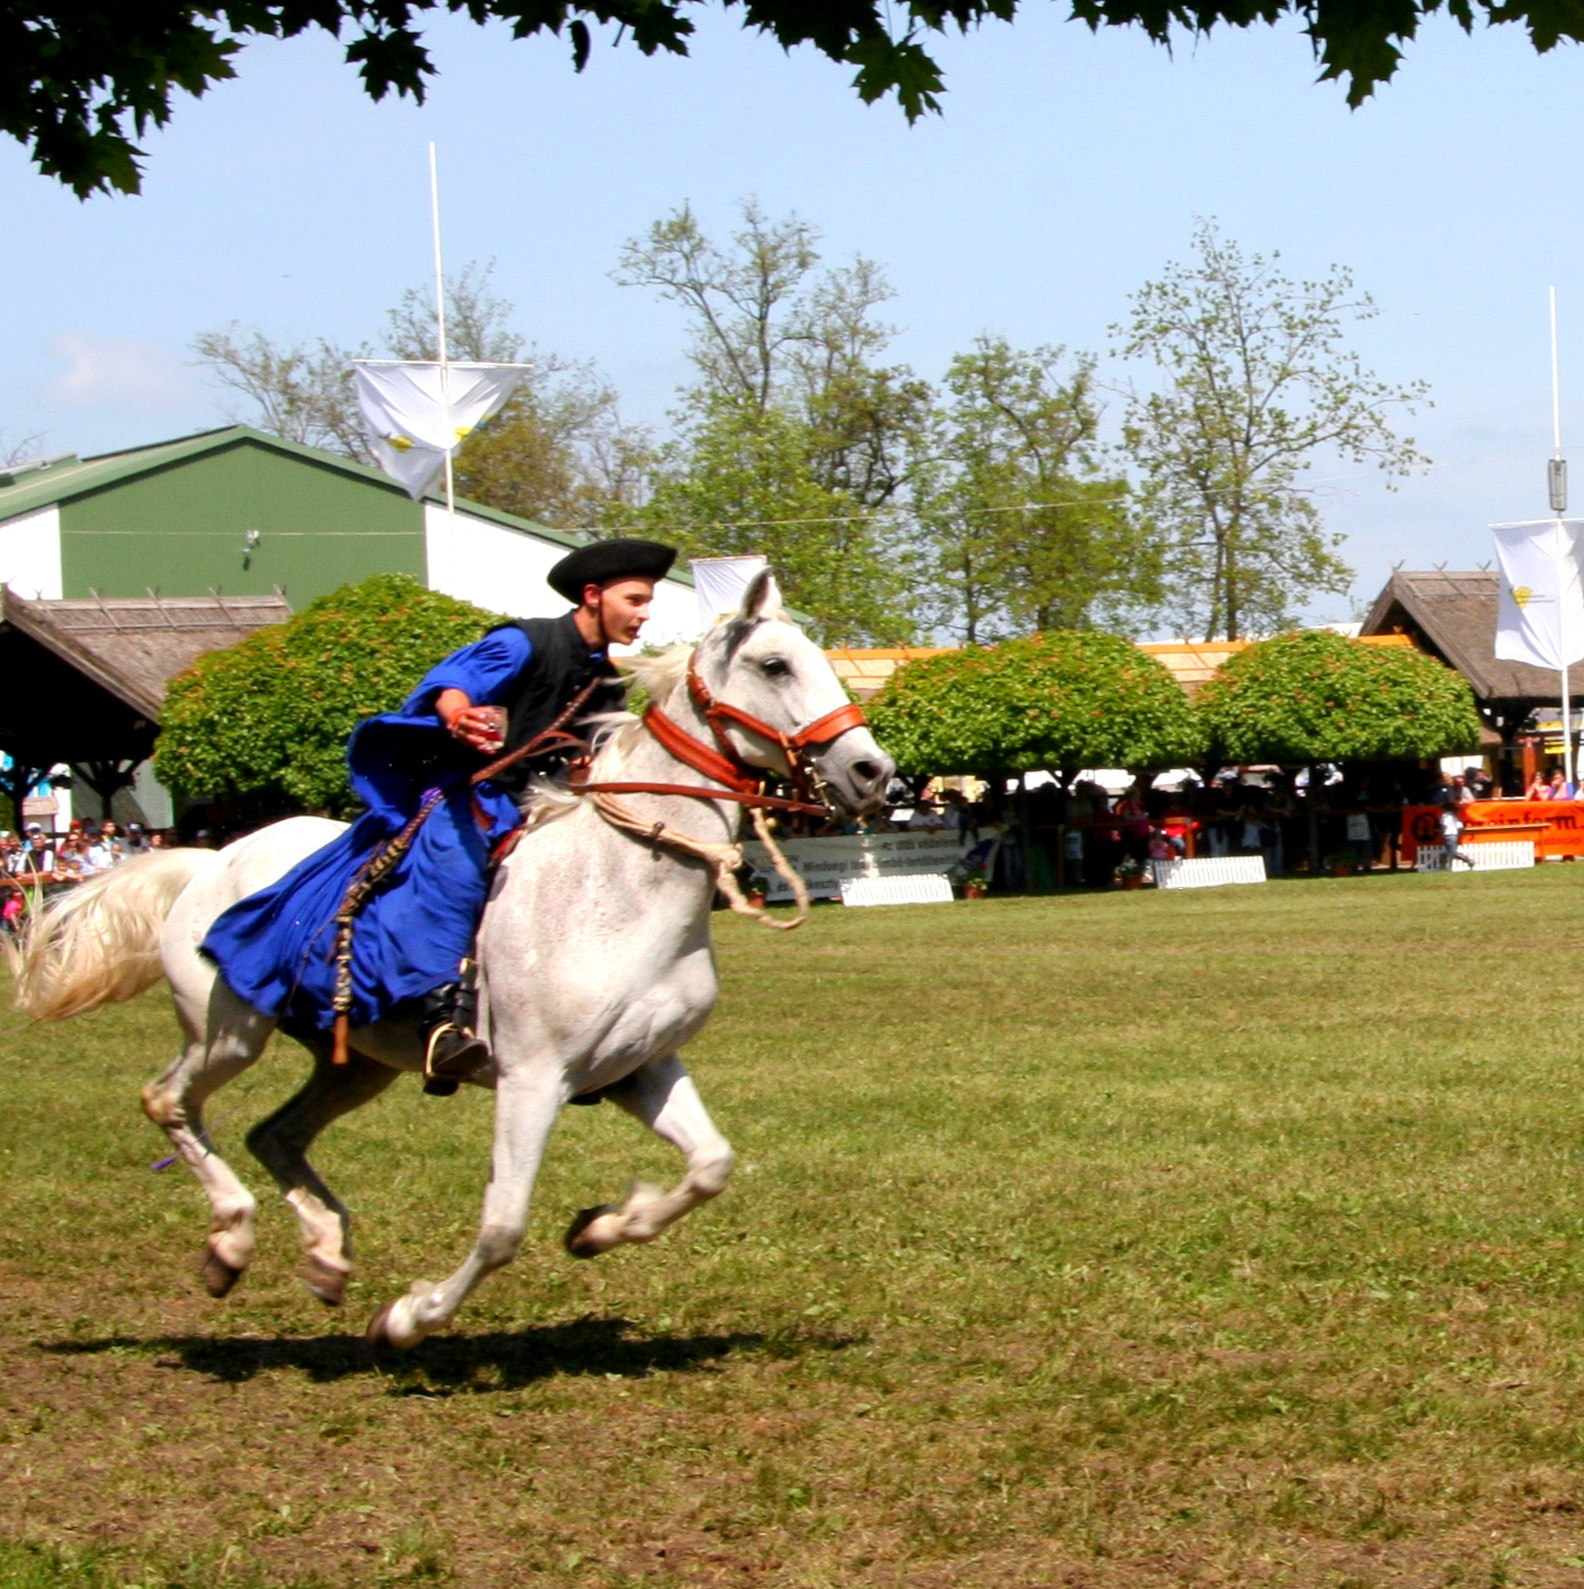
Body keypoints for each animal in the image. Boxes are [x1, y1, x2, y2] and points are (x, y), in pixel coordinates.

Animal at [12, 578, 889, 1347]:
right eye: (775, 665)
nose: (871, 771)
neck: (619, 883)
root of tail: (209, 860)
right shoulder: (533, 1078)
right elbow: (502, 1225)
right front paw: (409, 1317)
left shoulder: (640, 1066)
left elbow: (710, 1165)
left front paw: (602, 1225)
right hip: (227, 1031)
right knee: (169, 1102)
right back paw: (230, 1244)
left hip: (356, 1061)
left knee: (273, 1133)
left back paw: (324, 1252)